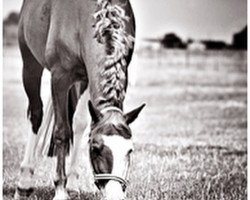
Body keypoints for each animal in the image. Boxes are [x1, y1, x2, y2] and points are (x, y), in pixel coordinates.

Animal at [14, 0, 145, 200]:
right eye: (95, 149)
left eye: (129, 150)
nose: (115, 194)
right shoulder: (59, 77)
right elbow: (62, 131)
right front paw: (60, 190)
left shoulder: (87, 78)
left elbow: (80, 123)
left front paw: (72, 185)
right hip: (30, 64)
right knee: (36, 114)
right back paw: (24, 183)